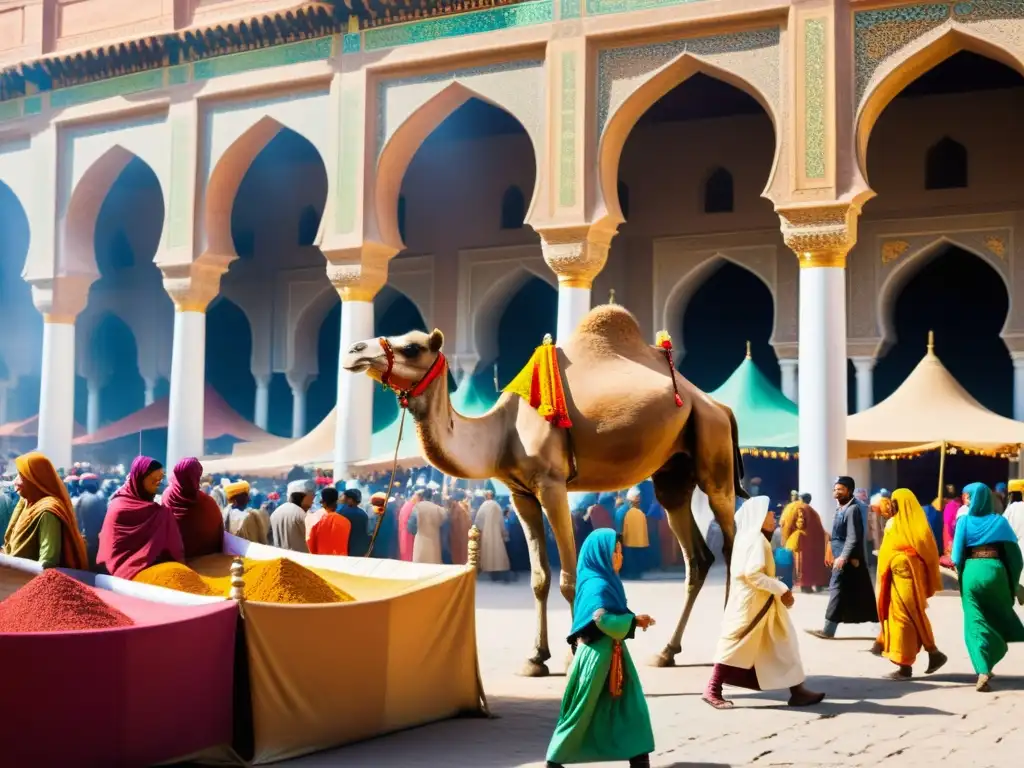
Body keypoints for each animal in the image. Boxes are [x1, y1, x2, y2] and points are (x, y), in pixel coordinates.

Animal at [344, 303, 745, 675]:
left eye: (412, 347)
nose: (353, 350)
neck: (502, 433)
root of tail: (719, 405)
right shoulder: (521, 493)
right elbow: (539, 578)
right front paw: (536, 657)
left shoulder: (552, 485)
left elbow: (569, 577)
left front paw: (573, 653)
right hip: (673, 473)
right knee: (697, 556)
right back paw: (666, 652)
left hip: (713, 451)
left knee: (730, 542)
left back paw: (727, 645)